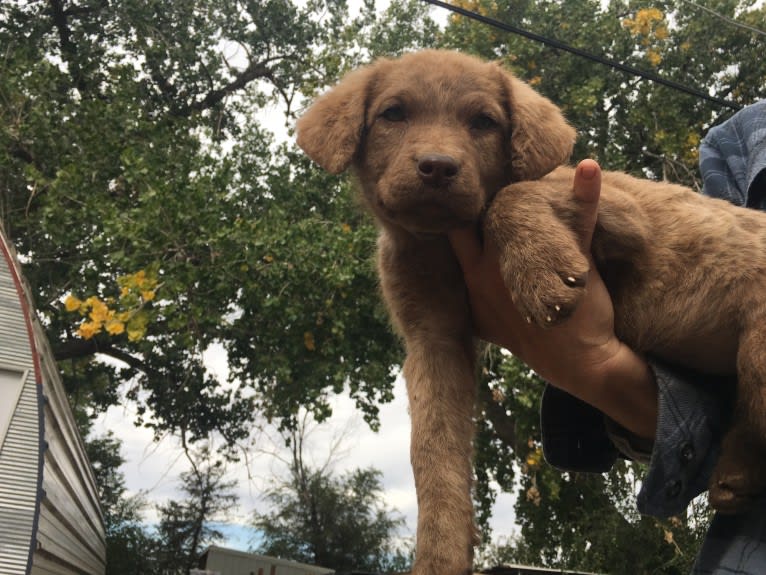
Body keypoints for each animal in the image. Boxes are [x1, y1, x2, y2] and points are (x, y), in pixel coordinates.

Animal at [296, 50, 764, 575]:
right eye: (393, 114)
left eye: (483, 122)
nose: (437, 167)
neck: (442, 244)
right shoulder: (433, 340)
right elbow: (433, 454)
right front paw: (439, 556)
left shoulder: (623, 211)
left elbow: (509, 195)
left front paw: (540, 271)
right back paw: (735, 475)